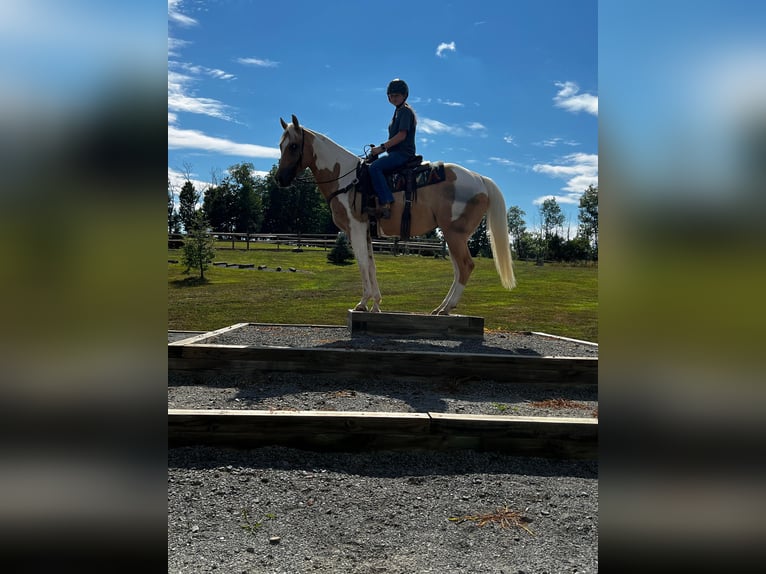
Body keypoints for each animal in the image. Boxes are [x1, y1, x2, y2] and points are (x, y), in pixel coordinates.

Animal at [276, 115, 516, 318]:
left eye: (294, 146)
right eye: (280, 146)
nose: (280, 179)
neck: (346, 180)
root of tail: (480, 179)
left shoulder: (355, 227)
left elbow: (362, 263)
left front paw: (362, 303)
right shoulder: (366, 231)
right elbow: (371, 264)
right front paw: (376, 304)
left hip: (454, 234)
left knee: (465, 266)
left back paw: (447, 308)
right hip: (453, 237)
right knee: (458, 270)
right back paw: (441, 308)